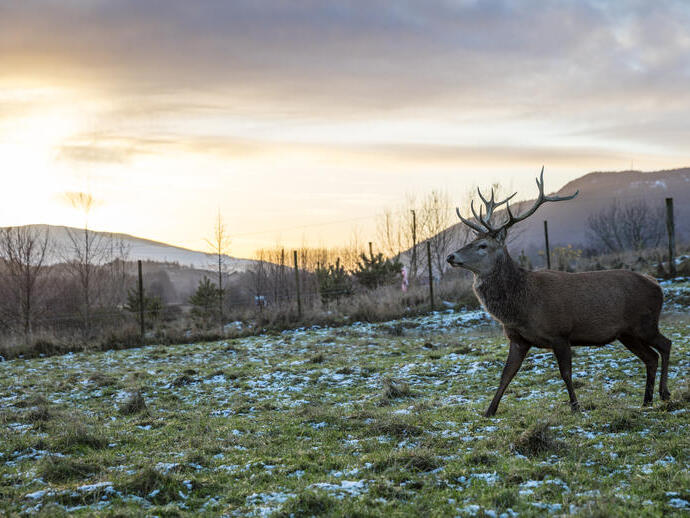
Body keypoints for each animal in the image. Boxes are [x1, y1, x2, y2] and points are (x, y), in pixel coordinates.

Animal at [447, 168, 672, 417]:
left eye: (483, 246)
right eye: (472, 240)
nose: (451, 256)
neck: (522, 306)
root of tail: (657, 284)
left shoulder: (560, 333)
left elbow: (565, 373)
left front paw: (575, 406)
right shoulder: (518, 339)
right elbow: (506, 375)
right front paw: (489, 411)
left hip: (645, 323)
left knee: (666, 345)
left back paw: (664, 393)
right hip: (627, 333)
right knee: (651, 357)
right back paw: (647, 400)